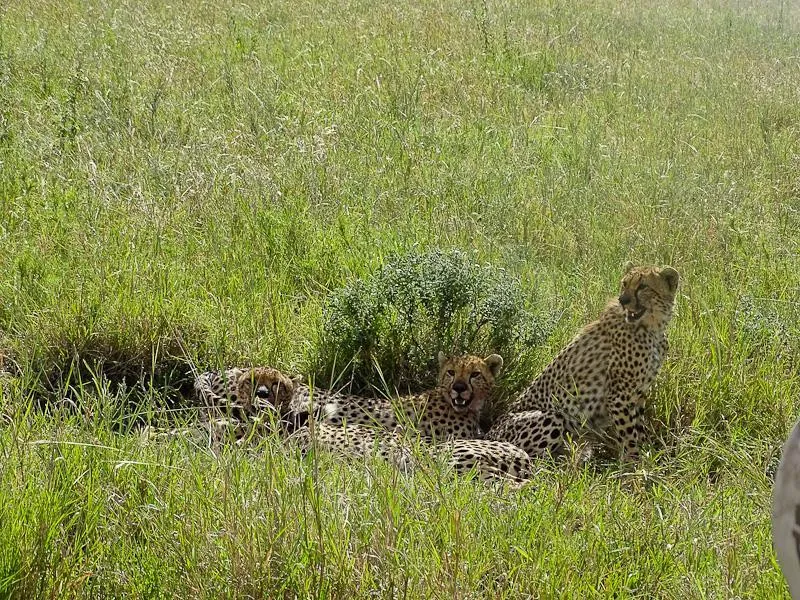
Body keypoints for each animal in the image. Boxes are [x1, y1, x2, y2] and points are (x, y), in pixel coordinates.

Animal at [486, 264, 679, 462]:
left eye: (643, 286)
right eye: (625, 284)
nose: (623, 300)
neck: (652, 328)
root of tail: (490, 433)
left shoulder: (638, 395)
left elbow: (640, 431)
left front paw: (650, 456)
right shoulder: (618, 397)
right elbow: (629, 437)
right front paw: (635, 465)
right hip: (553, 417)